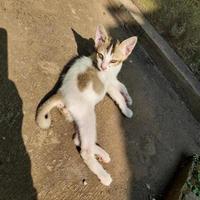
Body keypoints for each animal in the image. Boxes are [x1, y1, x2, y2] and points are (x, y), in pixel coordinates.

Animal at [36, 25, 138, 186]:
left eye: (113, 61)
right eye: (101, 55)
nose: (103, 66)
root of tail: (61, 93)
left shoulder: (112, 78)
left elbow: (122, 85)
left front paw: (129, 98)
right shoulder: (108, 85)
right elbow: (117, 95)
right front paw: (126, 109)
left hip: (80, 117)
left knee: (77, 139)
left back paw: (102, 154)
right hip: (88, 116)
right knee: (84, 149)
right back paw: (104, 175)